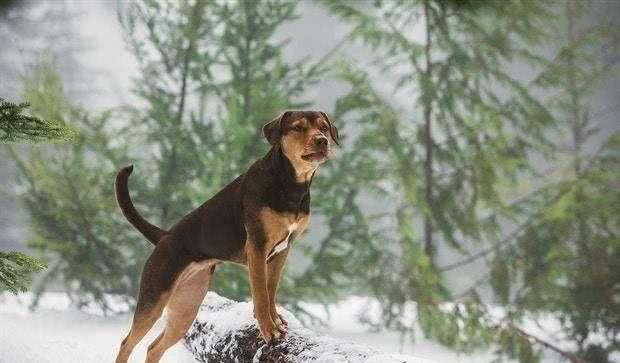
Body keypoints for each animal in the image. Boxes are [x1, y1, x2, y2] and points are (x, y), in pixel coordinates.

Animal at [114, 111, 342, 363]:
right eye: (298, 128)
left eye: (323, 127)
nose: (322, 140)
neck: (289, 183)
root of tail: (164, 237)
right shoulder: (257, 247)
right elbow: (261, 296)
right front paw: (269, 330)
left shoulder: (282, 251)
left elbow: (271, 291)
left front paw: (277, 322)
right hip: (153, 299)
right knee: (127, 343)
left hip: (186, 307)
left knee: (154, 347)